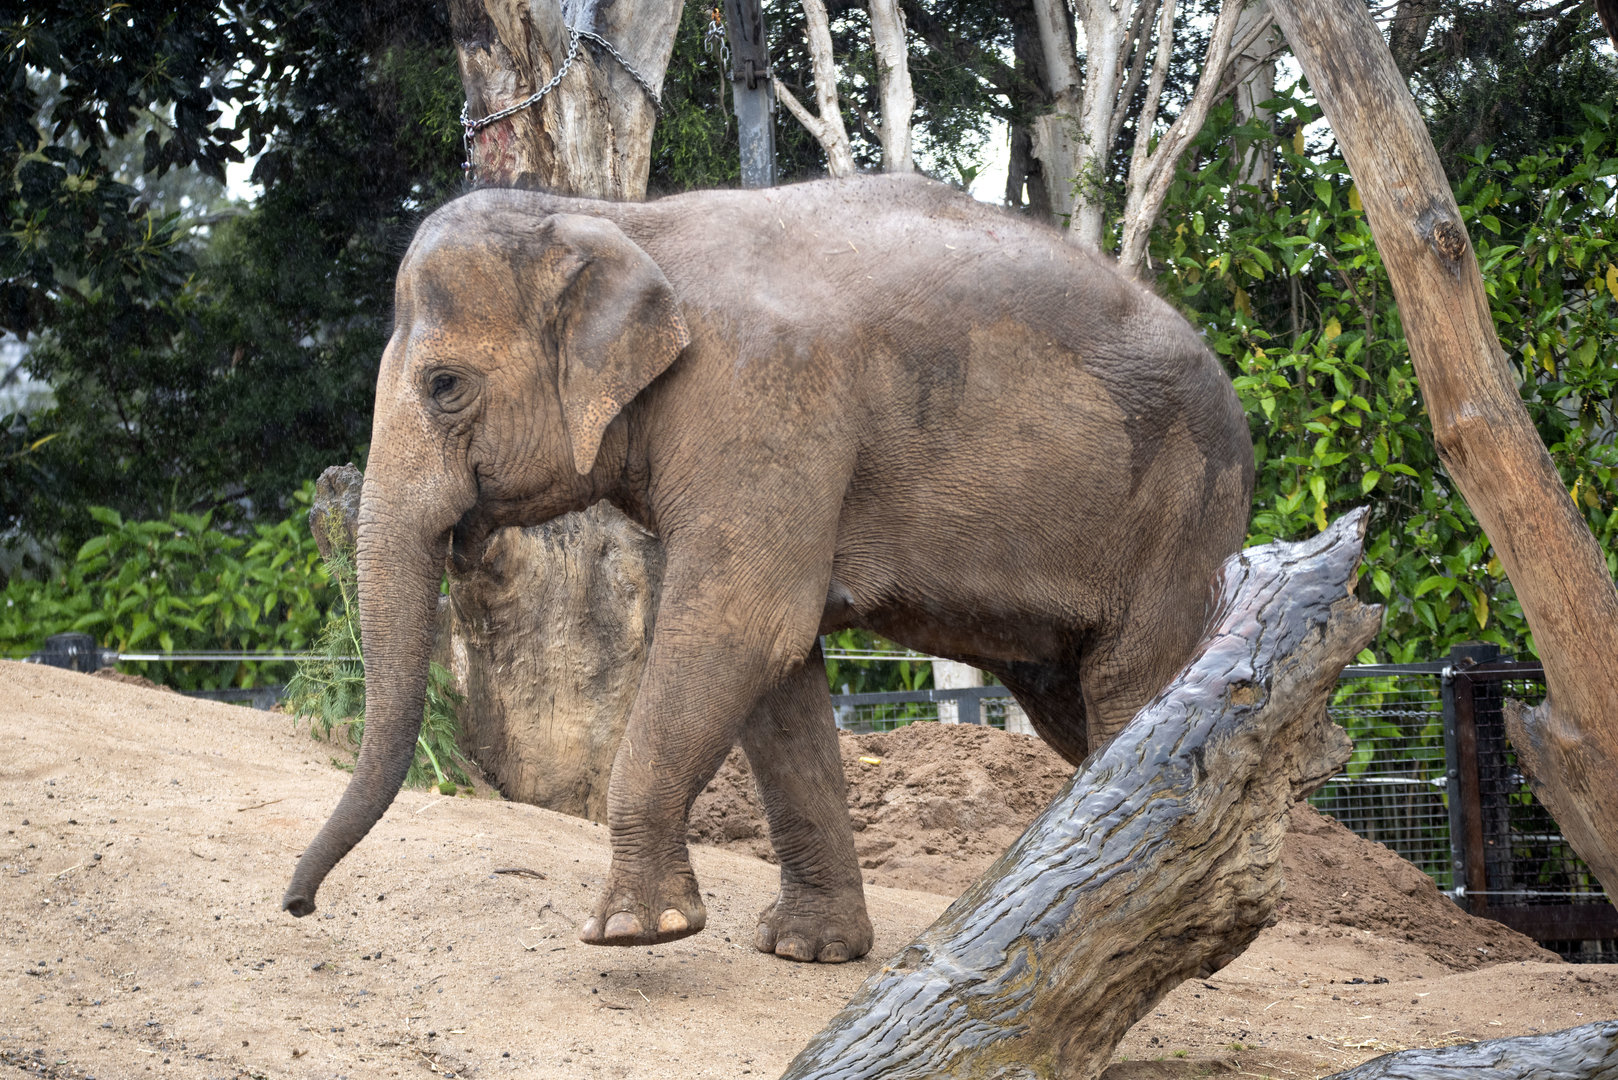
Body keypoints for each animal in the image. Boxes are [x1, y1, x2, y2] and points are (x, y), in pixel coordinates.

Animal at [282, 173, 1254, 964]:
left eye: (444, 386)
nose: (299, 906)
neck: (619, 218)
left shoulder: (764, 403)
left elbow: (741, 625)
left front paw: (632, 933)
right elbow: (778, 671)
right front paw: (804, 951)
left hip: (1186, 511)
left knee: (1134, 682)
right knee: (1070, 700)